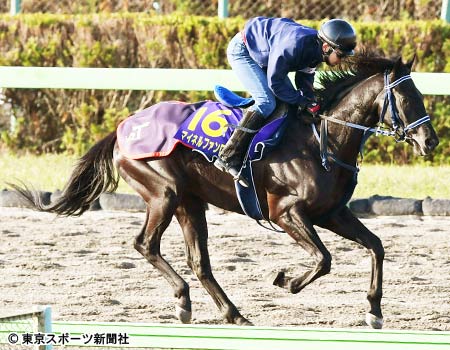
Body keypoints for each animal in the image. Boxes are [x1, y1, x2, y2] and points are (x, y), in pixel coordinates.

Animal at [11, 52, 440, 328]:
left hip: (190, 202)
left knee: (199, 261)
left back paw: (230, 312)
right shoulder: (287, 213)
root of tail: (123, 128)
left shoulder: (333, 212)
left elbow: (376, 246)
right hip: (164, 193)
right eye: (405, 98)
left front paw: (375, 311)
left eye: (421, 95)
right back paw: (185, 299)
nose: (431, 141)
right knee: (145, 244)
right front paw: (286, 280)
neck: (325, 139)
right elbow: (323, 259)